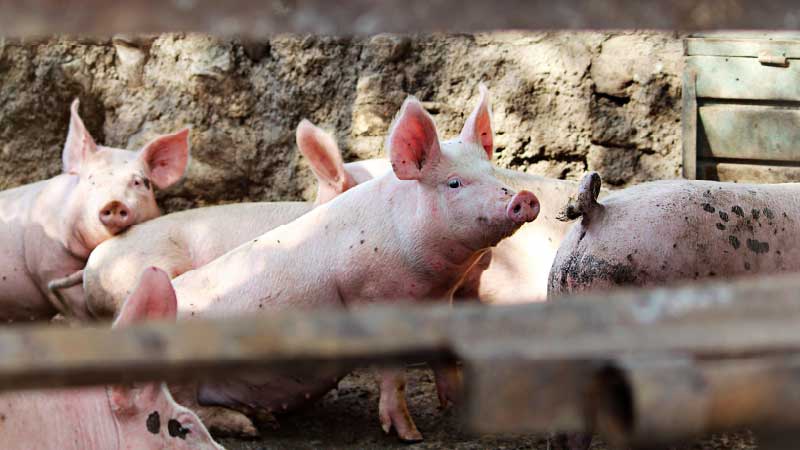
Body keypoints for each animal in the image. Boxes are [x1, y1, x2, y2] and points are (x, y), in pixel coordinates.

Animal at [171, 86, 539, 441]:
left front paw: (459, 410)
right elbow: (394, 375)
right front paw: (410, 436)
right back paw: (248, 427)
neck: (432, 284)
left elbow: (446, 357)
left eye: (493, 175)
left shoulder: (439, 302)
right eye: (454, 183)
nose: (524, 197)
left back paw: (263, 418)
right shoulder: (372, 298)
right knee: (188, 406)